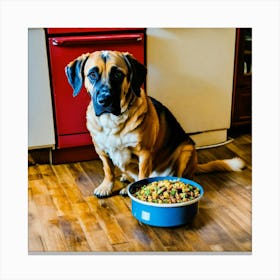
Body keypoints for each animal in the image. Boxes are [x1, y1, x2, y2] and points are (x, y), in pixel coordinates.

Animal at [65, 49, 245, 197]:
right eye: (92, 75)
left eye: (117, 75)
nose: (104, 100)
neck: (112, 120)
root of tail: (195, 165)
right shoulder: (101, 151)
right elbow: (108, 170)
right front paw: (106, 187)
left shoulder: (144, 153)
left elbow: (142, 175)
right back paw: (125, 178)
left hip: (185, 150)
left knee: (177, 174)